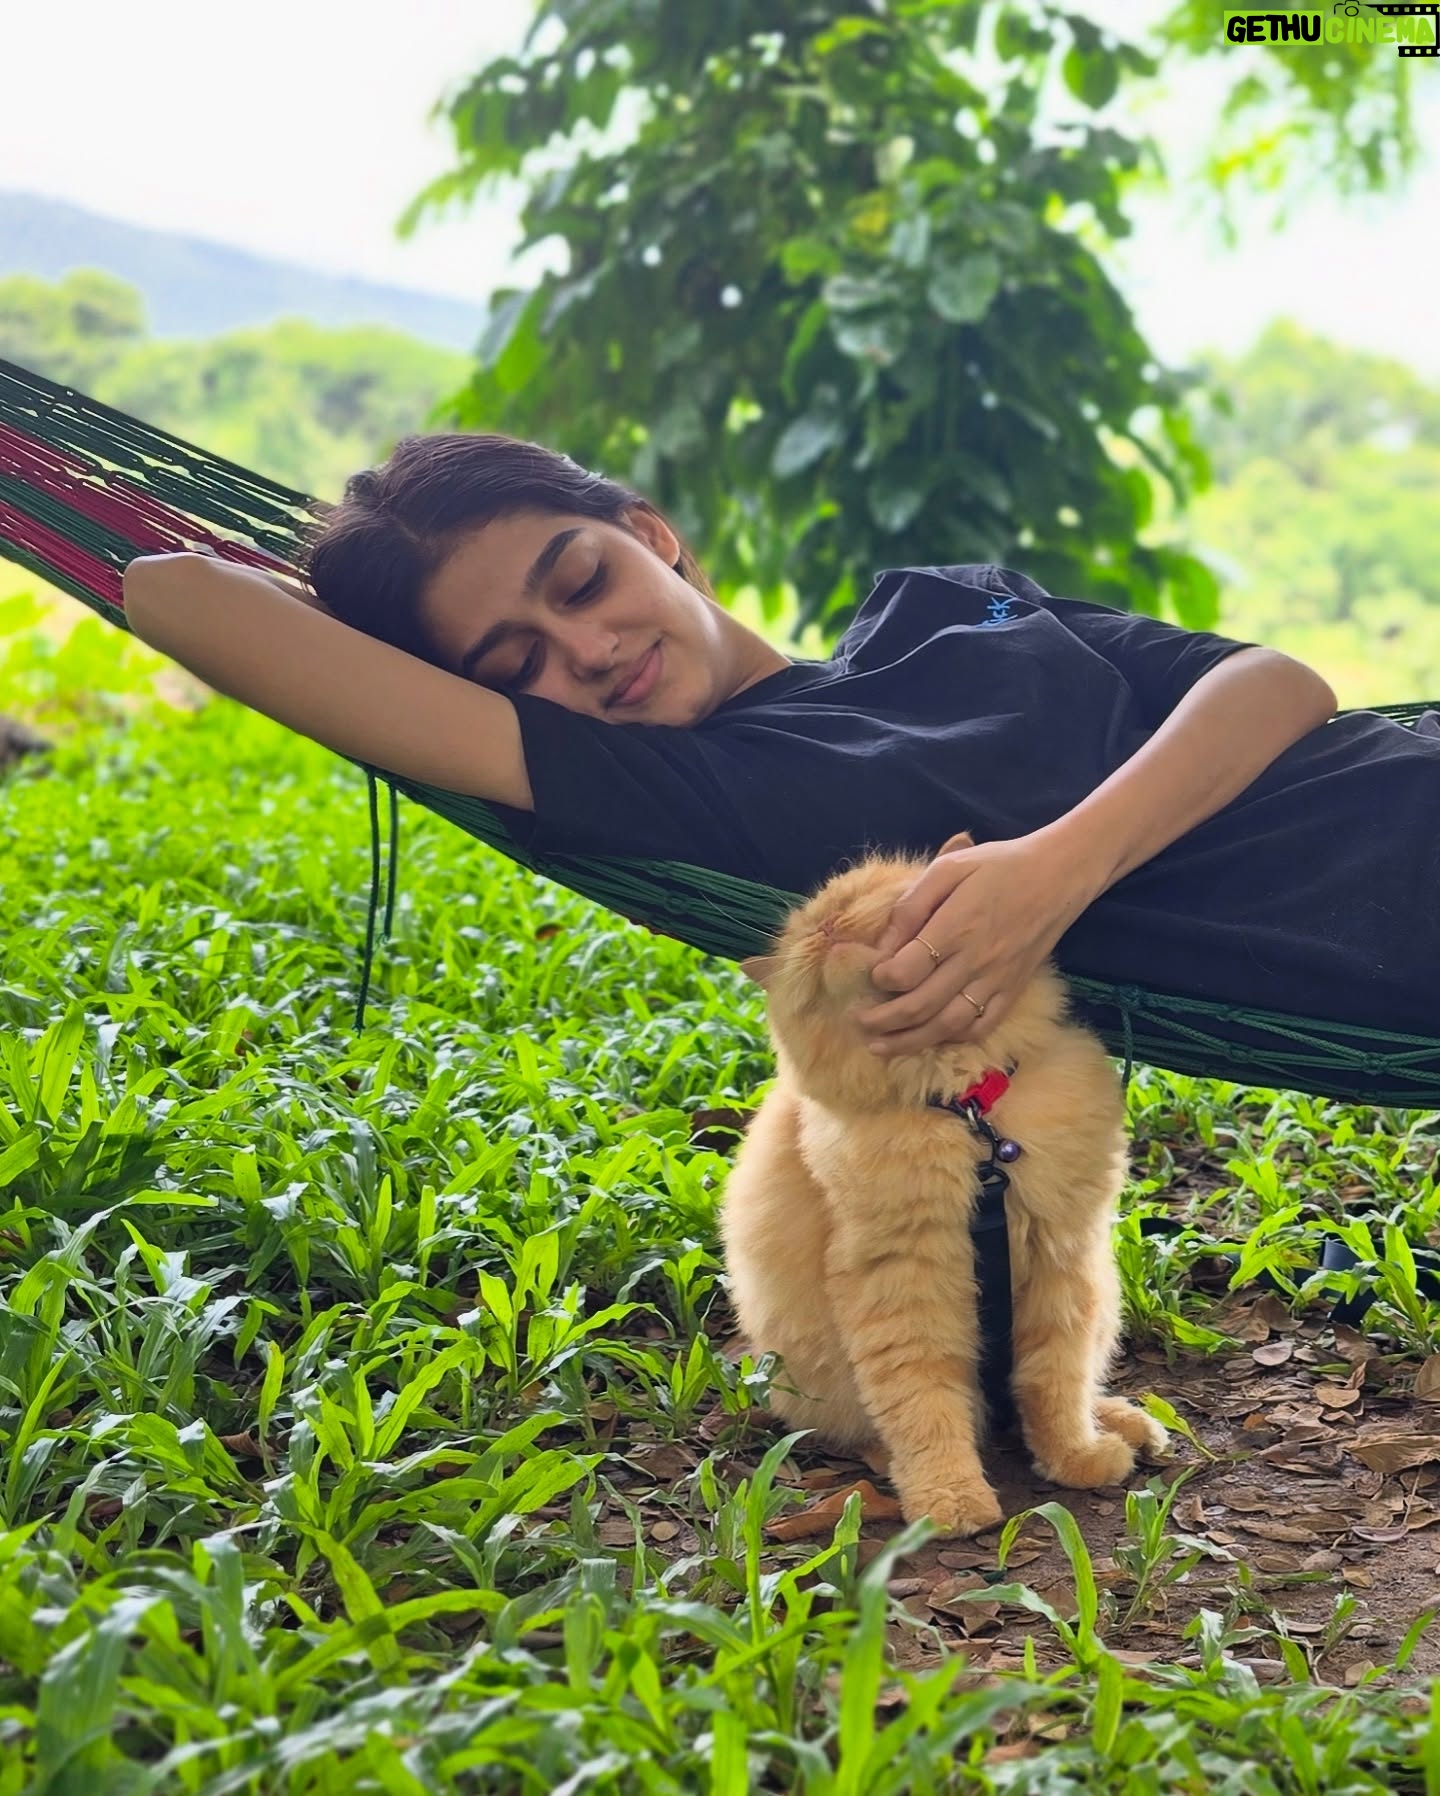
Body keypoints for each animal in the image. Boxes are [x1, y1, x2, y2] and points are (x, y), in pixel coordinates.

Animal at [720, 835, 1168, 1537]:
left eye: (853, 902)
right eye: (808, 933)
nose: (827, 929)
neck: (966, 1113)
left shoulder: (1062, 1263)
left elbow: (1055, 1385)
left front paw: (1075, 1458)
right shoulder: (903, 1287)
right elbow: (925, 1408)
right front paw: (950, 1503)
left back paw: (1124, 1426)